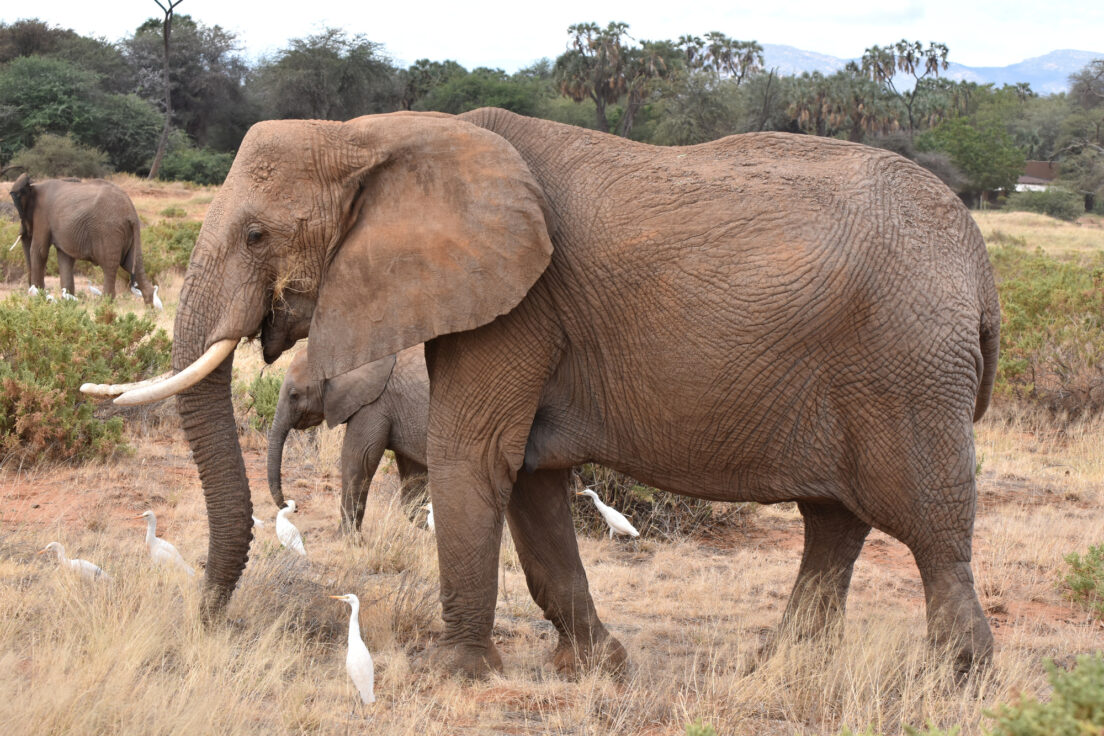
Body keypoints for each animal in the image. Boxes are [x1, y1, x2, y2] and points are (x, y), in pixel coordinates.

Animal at [9, 174, 155, 304]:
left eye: (20, 212)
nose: (30, 291)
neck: (34, 186)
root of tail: (131, 212)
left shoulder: (42, 215)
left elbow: (39, 251)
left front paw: (39, 301)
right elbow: (65, 257)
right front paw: (67, 303)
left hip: (109, 232)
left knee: (109, 266)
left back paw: (105, 306)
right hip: (129, 234)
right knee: (132, 263)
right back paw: (150, 310)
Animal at [264, 346, 428, 529]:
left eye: (294, 395)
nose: (290, 505)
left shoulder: (374, 404)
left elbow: (358, 458)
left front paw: (347, 535)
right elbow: (414, 474)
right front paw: (428, 524)